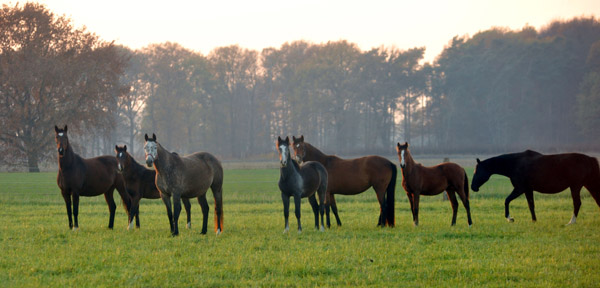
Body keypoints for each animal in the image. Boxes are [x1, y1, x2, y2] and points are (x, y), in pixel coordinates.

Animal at [472, 150, 600, 224]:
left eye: (476, 171)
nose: (473, 187)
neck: (515, 163)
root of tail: (590, 159)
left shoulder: (520, 188)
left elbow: (507, 200)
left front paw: (509, 218)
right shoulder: (528, 189)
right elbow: (531, 205)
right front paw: (534, 220)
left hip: (576, 186)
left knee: (577, 203)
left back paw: (571, 222)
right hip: (588, 185)